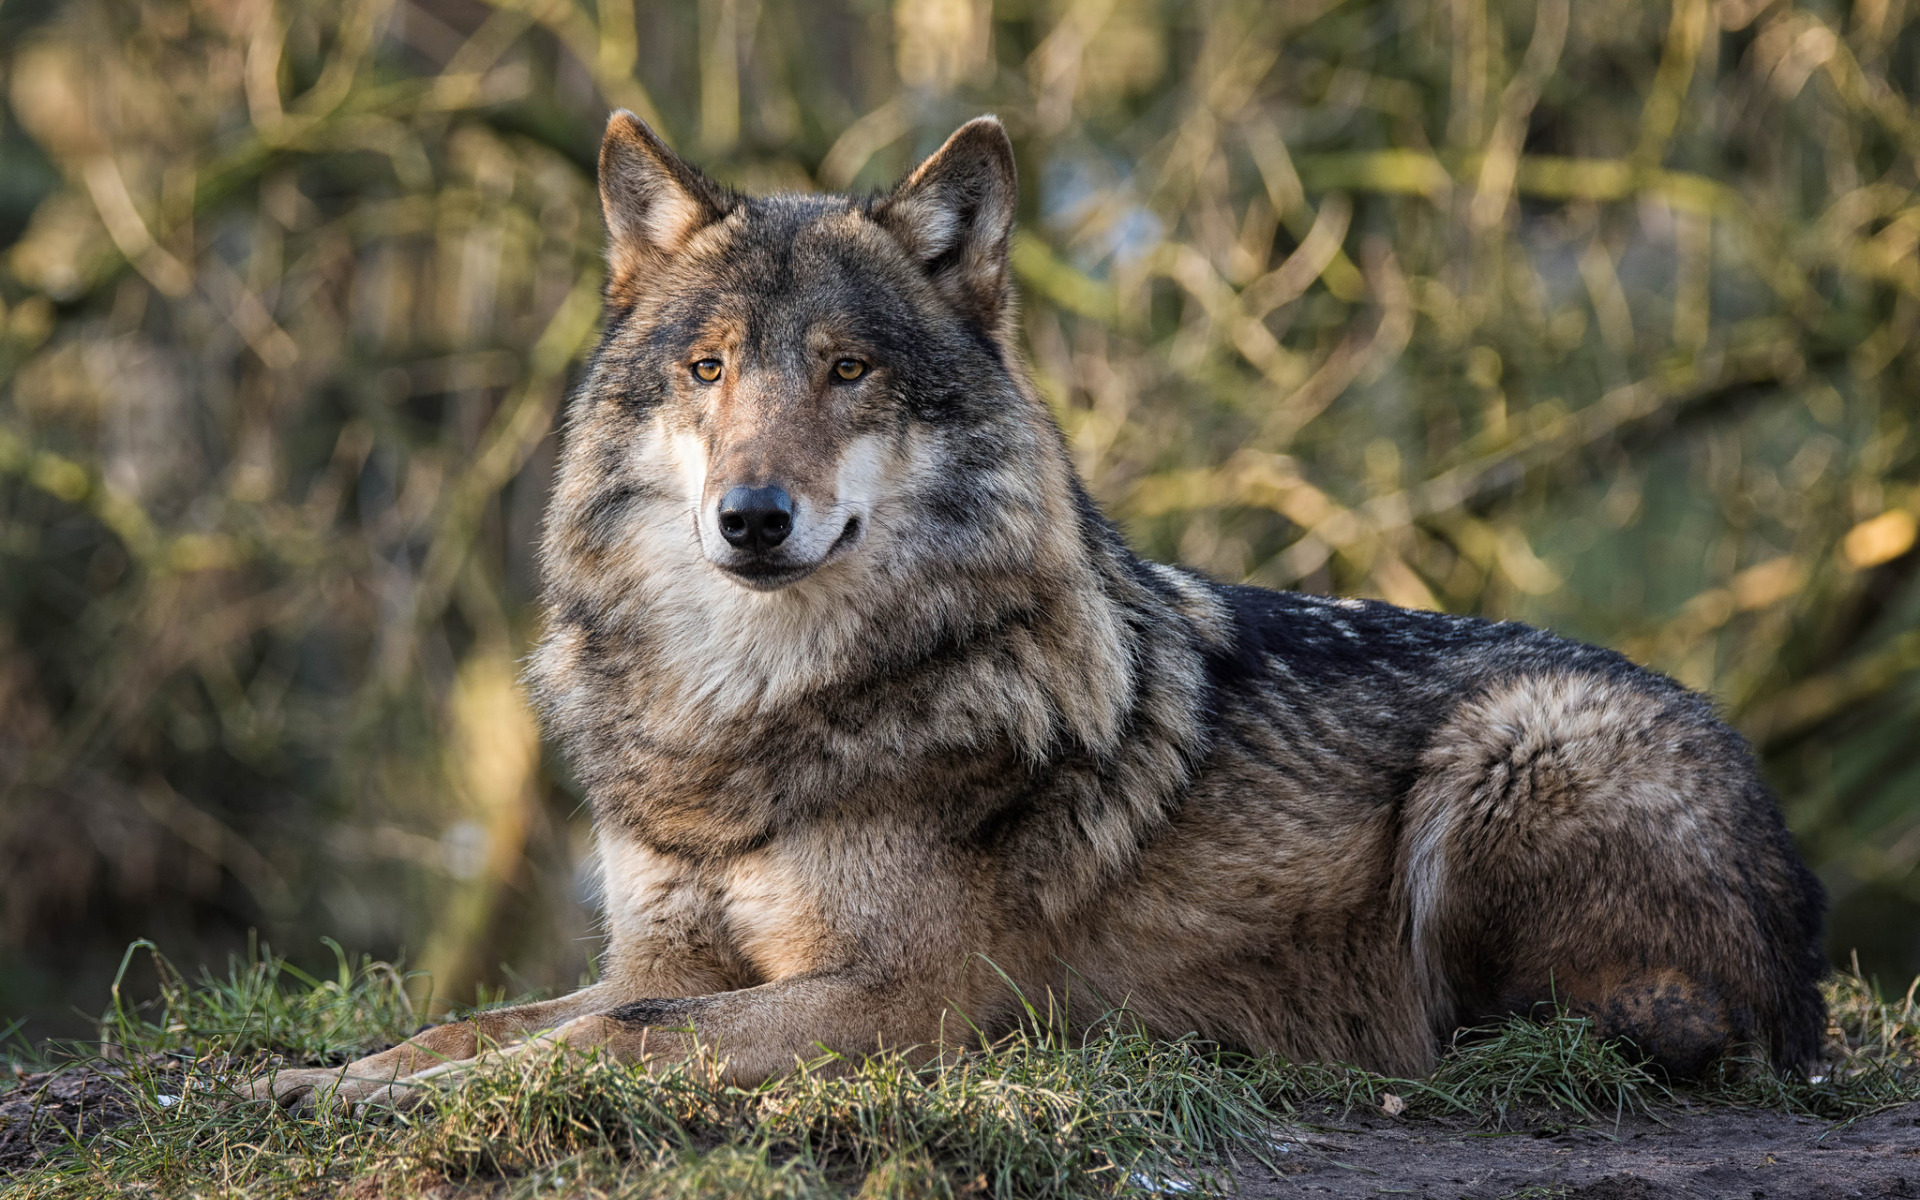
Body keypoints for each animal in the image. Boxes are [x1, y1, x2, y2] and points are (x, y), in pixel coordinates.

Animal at [247, 114, 1820, 1113]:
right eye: (708, 369)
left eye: (848, 371)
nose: (752, 517)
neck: (746, 716)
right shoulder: (661, 950)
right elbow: (494, 1013)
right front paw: (322, 1077)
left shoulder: (897, 1002)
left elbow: (623, 1035)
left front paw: (417, 1102)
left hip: (1514, 745)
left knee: (1606, 1034)